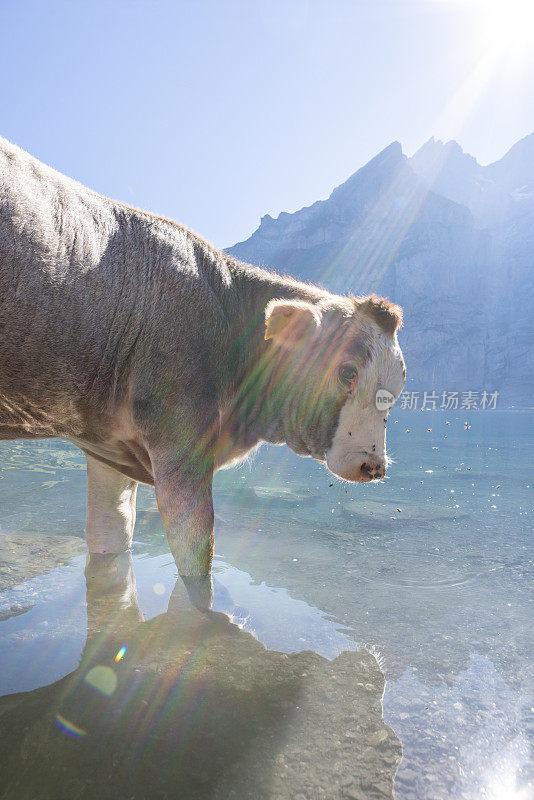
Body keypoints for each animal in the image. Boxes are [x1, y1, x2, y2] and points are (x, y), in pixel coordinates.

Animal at [0, 138, 406, 608]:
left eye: (398, 390)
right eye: (346, 373)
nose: (373, 465)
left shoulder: (106, 447)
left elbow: (110, 540)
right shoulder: (180, 438)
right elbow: (196, 559)